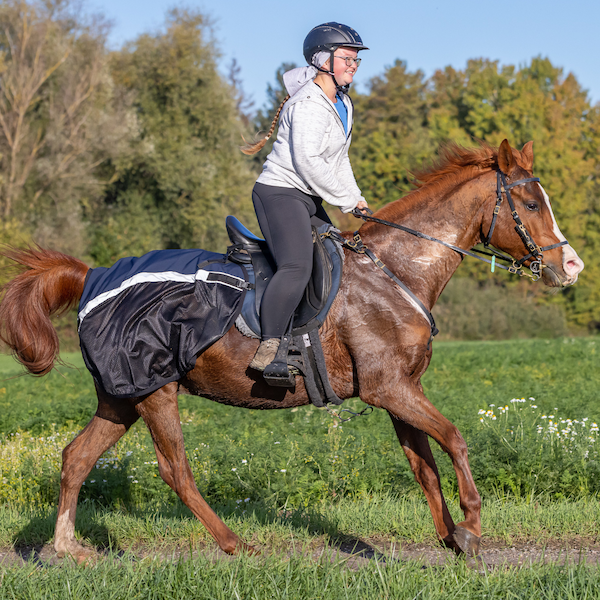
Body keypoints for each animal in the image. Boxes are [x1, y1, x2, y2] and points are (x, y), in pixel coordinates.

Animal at [0, 139, 580, 564]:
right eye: (531, 204)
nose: (570, 266)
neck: (397, 271)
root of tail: (91, 275)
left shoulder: (401, 391)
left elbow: (425, 467)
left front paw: (450, 537)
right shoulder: (390, 389)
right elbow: (456, 441)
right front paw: (473, 527)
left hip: (123, 395)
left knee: (76, 457)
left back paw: (68, 548)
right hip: (155, 389)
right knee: (175, 470)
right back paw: (236, 544)